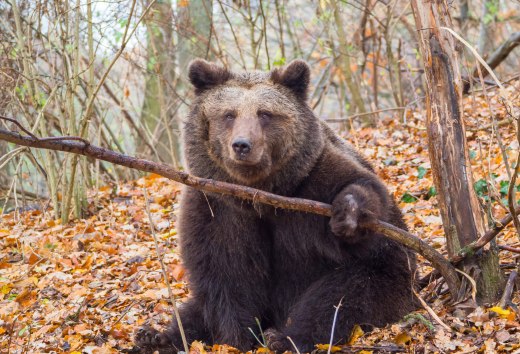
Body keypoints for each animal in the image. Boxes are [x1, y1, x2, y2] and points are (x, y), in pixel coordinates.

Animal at [135, 59, 418, 352]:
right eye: (229, 114)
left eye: (265, 114)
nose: (242, 145)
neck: (260, 194)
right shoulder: (215, 207)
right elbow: (226, 275)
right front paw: (236, 337)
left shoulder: (311, 184)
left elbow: (359, 190)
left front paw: (348, 215)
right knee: (194, 310)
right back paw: (155, 336)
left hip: (387, 278)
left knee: (341, 296)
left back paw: (284, 337)